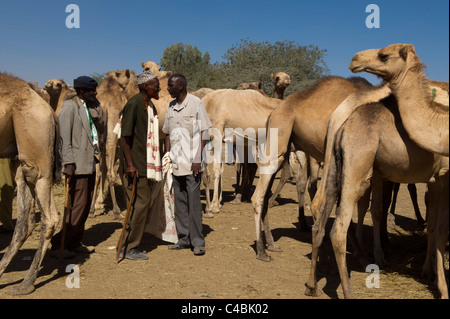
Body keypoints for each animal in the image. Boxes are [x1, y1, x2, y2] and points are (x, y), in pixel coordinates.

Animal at [0, 73, 61, 298]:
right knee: (27, 220)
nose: (51, 84)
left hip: (35, 142)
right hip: (24, 157)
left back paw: (26, 283)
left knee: (49, 218)